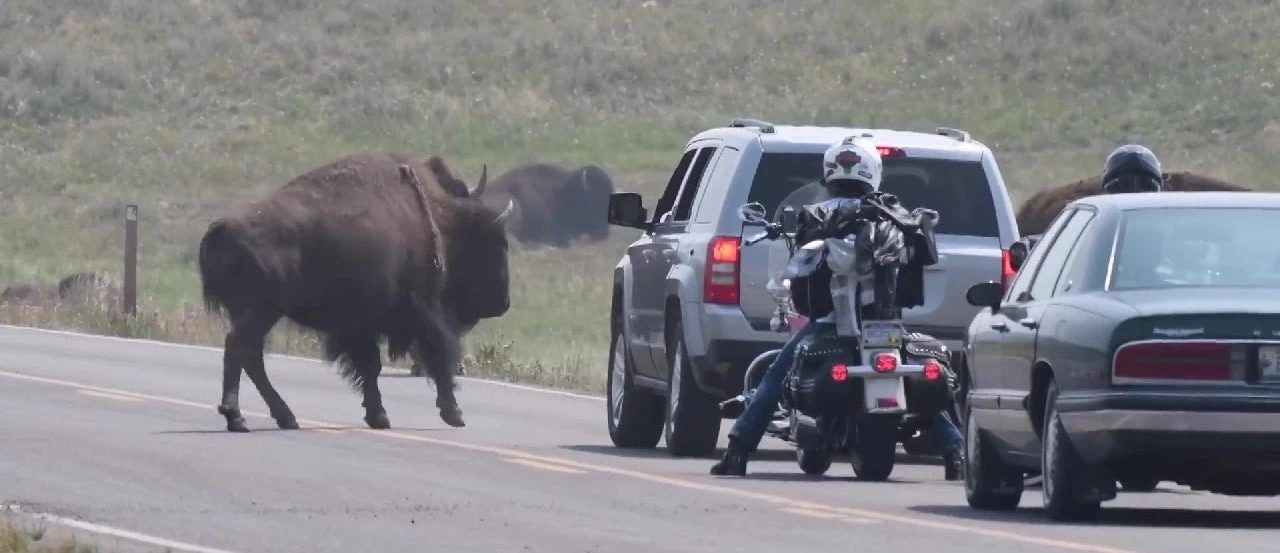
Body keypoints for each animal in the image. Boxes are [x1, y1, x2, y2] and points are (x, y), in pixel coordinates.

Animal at [197, 150, 512, 432]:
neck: (436, 219)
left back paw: (285, 417)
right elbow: (434, 356)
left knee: (250, 356)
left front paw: (378, 416)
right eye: (494, 243)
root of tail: (223, 228)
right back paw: (238, 417)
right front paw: (454, 414)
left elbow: (370, 367)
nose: (503, 302)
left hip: (256, 315)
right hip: (261, 312)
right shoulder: (420, 310)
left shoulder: (361, 325)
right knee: (240, 349)